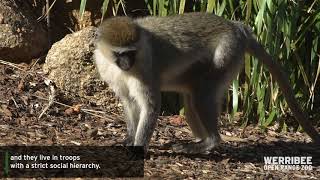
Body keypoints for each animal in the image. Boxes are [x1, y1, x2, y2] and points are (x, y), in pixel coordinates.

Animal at [93, 12, 320, 153]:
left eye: (131, 53)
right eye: (119, 54)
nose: (126, 64)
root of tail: (237, 27)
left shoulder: (145, 67)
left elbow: (150, 106)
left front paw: (139, 147)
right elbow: (129, 102)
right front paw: (129, 139)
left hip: (228, 52)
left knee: (202, 96)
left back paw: (210, 142)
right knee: (192, 99)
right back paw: (201, 142)